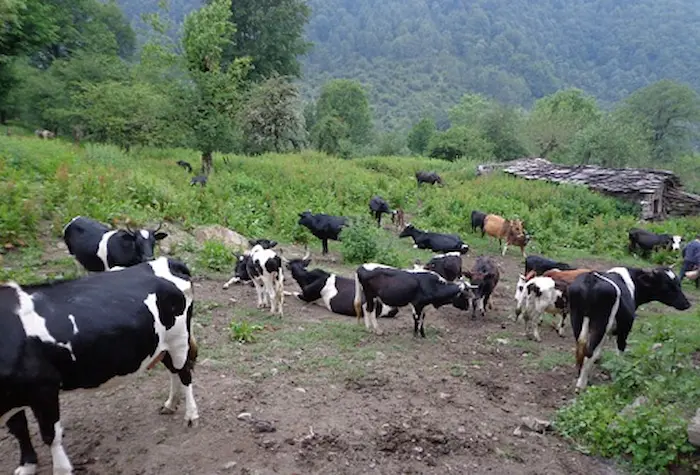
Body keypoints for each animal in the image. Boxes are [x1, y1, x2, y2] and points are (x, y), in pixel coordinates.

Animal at [0, 258, 200, 475]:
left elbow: (50, 436)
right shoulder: (14, 397)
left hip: (178, 339)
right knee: (173, 371)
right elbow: (19, 428)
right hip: (160, 344)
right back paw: (170, 404)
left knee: (184, 373)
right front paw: (27, 466)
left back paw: (191, 415)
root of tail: (167, 261)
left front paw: (61, 469)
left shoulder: (44, 388)